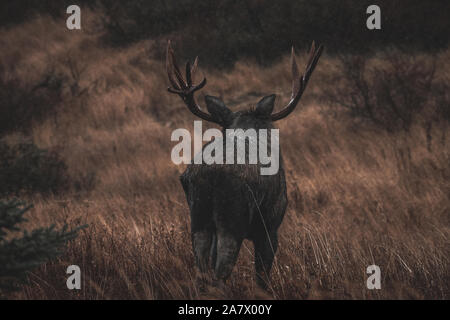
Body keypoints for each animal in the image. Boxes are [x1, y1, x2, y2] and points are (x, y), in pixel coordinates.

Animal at [166, 40, 324, 290]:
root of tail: (209, 176)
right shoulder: (270, 225)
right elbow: (262, 277)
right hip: (233, 218)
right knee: (221, 271)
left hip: (199, 219)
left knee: (202, 273)